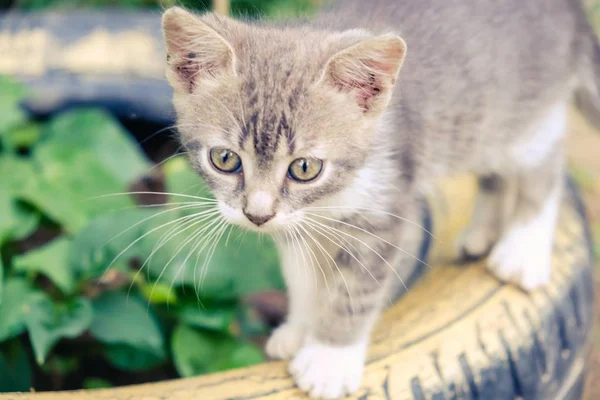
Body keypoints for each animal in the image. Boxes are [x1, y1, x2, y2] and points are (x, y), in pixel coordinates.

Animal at [159, 0, 600, 396]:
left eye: (305, 168)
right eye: (224, 159)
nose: (257, 215)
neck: (330, 198)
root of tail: (571, 10)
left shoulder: (389, 213)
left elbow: (354, 293)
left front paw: (328, 359)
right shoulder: (296, 226)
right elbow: (303, 279)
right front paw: (301, 328)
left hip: (524, 118)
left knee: (546, 163)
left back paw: (522, 250)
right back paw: (482, 234)